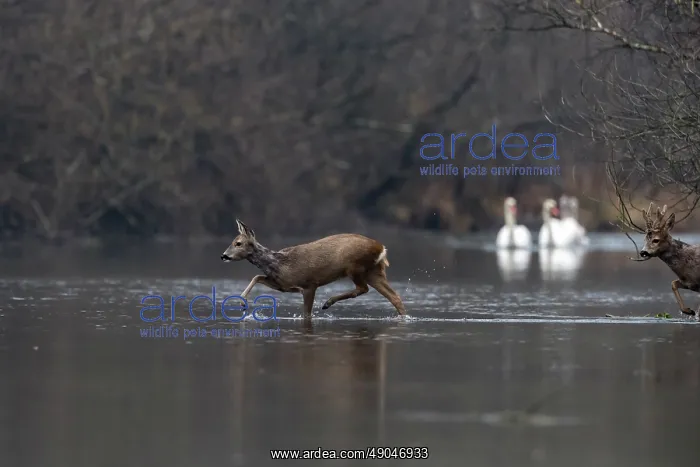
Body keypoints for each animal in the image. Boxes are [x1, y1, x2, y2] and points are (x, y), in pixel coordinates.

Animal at [220, 220, 407, 319]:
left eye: (238, 243)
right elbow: (257, 276)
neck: (279, 263)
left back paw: (327, 302)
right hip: (374, 271)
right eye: (233, 241)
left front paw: (241, 302)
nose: (224, 256)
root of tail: (381, 248)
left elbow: (307, 313)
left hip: (354, 267)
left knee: (363, 288)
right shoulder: (284, 285)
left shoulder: (309, 284)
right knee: (395, 297)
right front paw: (241, 302)